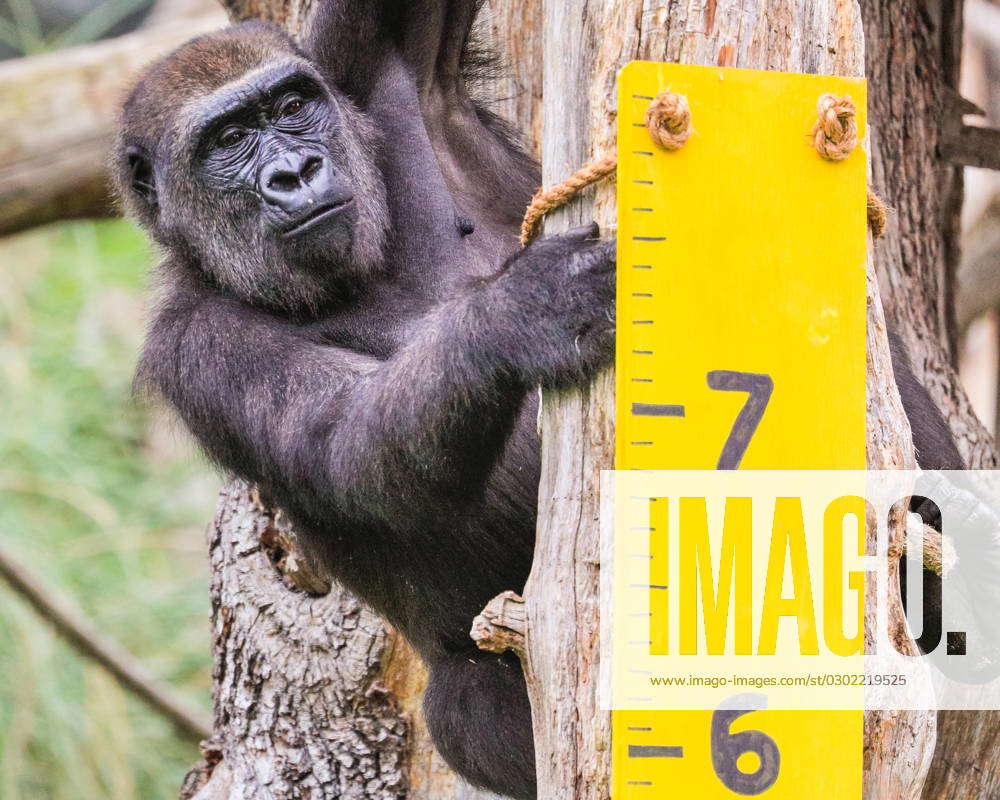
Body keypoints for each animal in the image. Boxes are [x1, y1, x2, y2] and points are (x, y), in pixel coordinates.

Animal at [113, 3, 964, 796]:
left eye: (290, 106)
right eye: (227, 139)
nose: (295, 171)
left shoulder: (369, 76)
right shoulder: (196, 348)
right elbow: (346, 446)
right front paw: (520, 314)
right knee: (466, 707)